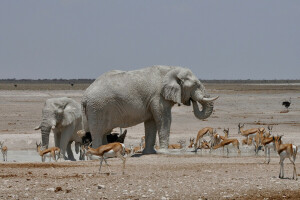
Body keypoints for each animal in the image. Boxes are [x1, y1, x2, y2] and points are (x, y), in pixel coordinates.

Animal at [82, 65, 218, 153]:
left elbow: (151, 123)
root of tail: (85, 96)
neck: (171, 69)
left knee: (103, 132)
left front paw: (149, 152)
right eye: (195, 85)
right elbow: (164, 120)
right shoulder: (158, 97)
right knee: (98, 132)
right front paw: (164, 152)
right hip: (97, 107)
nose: (192, 100)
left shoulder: (152, 100)